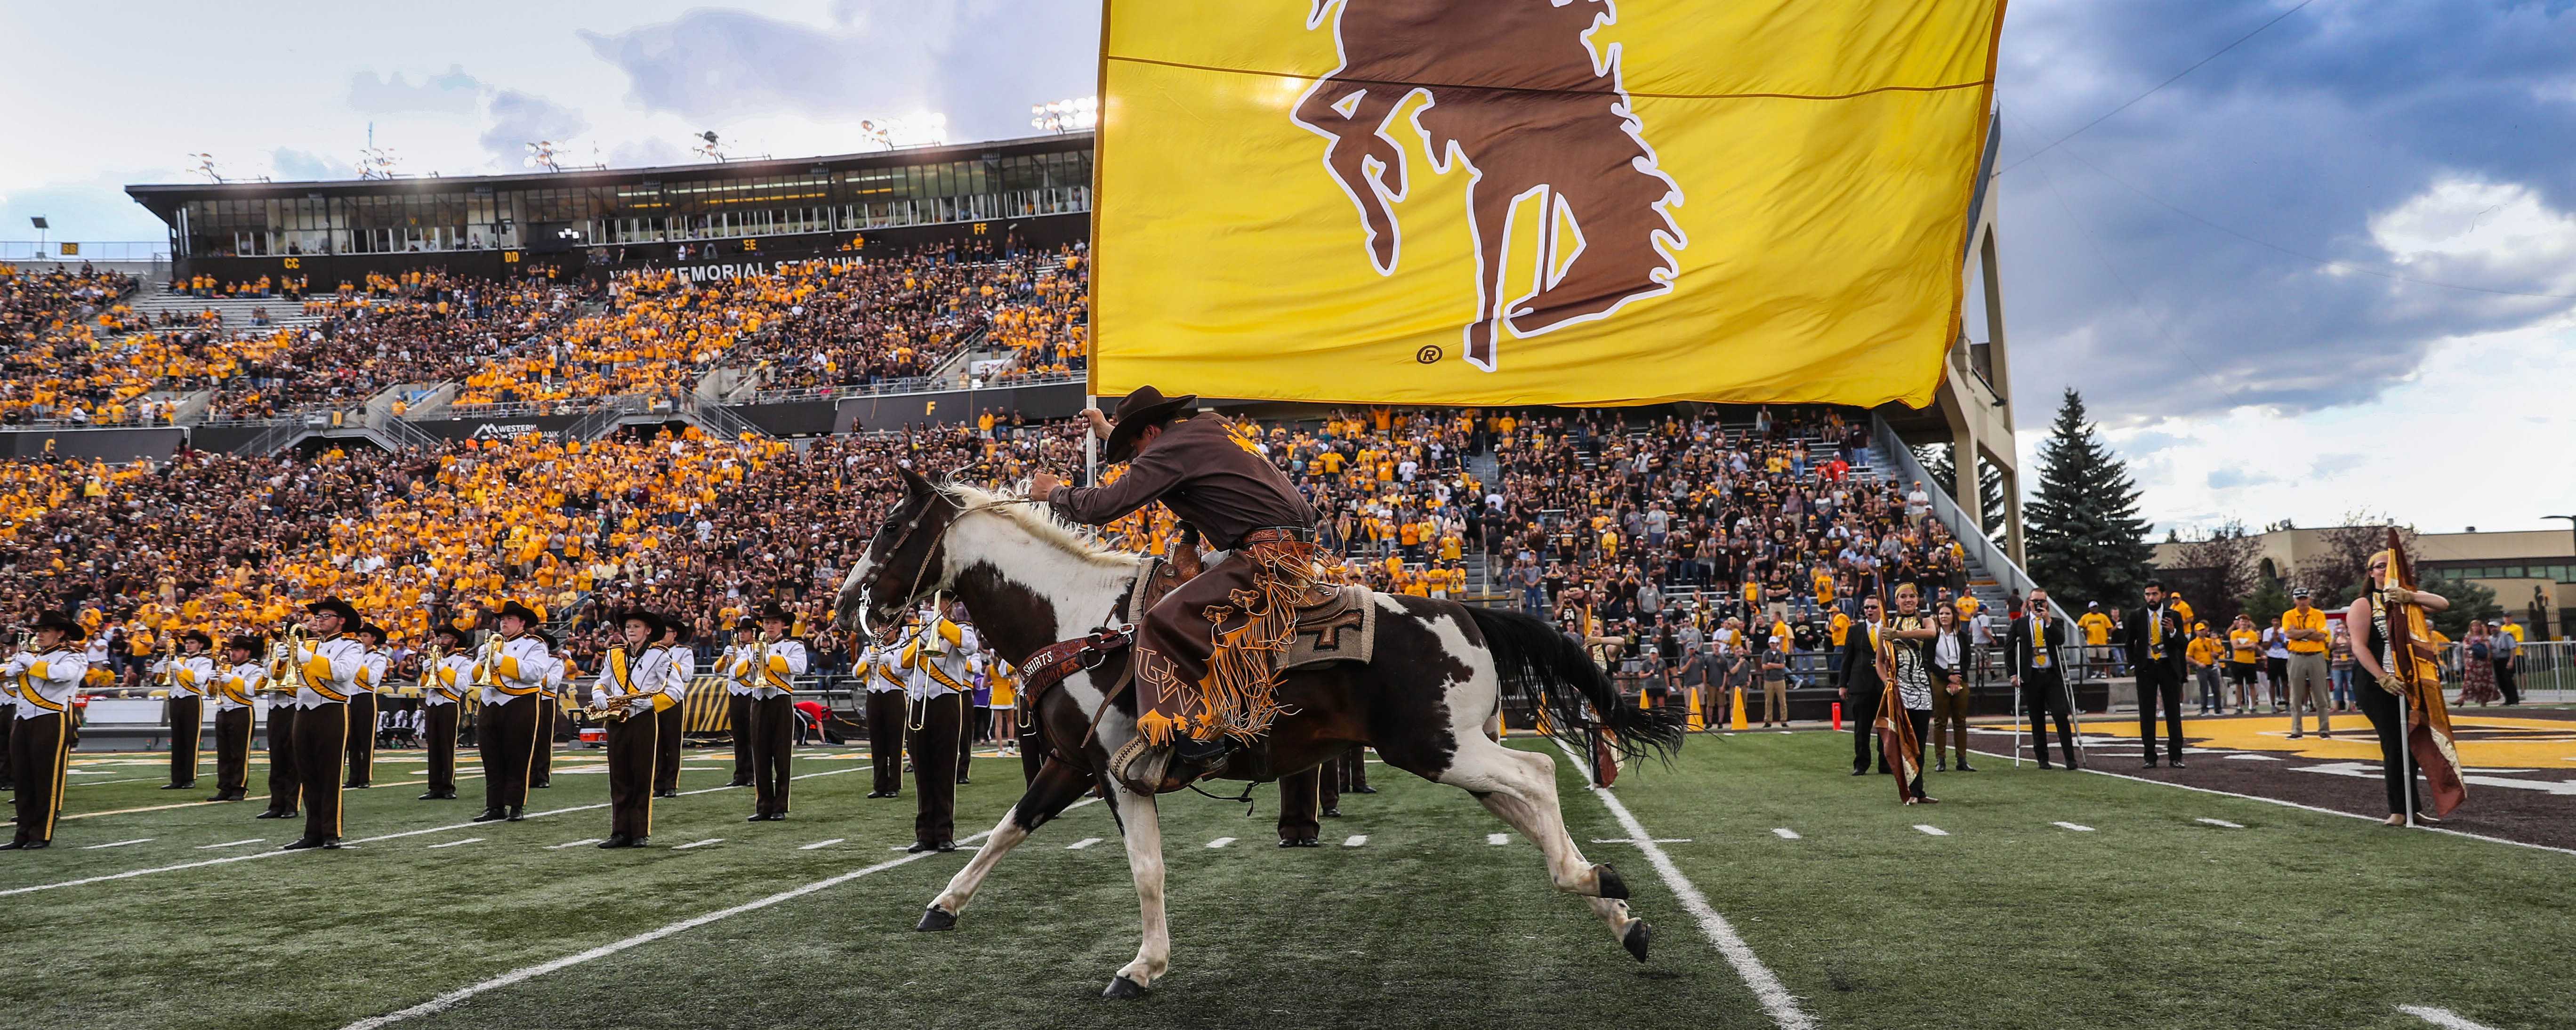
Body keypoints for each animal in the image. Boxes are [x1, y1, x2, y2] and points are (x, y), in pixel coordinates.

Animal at [839, 471, 1690, 1004]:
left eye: (892, 525)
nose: (849, 600)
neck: (1080, 618)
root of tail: (1468, 612)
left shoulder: (1118, 772)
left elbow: (1145, 869)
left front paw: (1142, 968)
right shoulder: (1070, 763)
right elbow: (1008, 830)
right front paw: (943, 905)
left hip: (1440, 747)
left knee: (1540, 776)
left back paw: (1594, 885)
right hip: (1456, 754)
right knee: (1529, 805)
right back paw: (1619, 911)